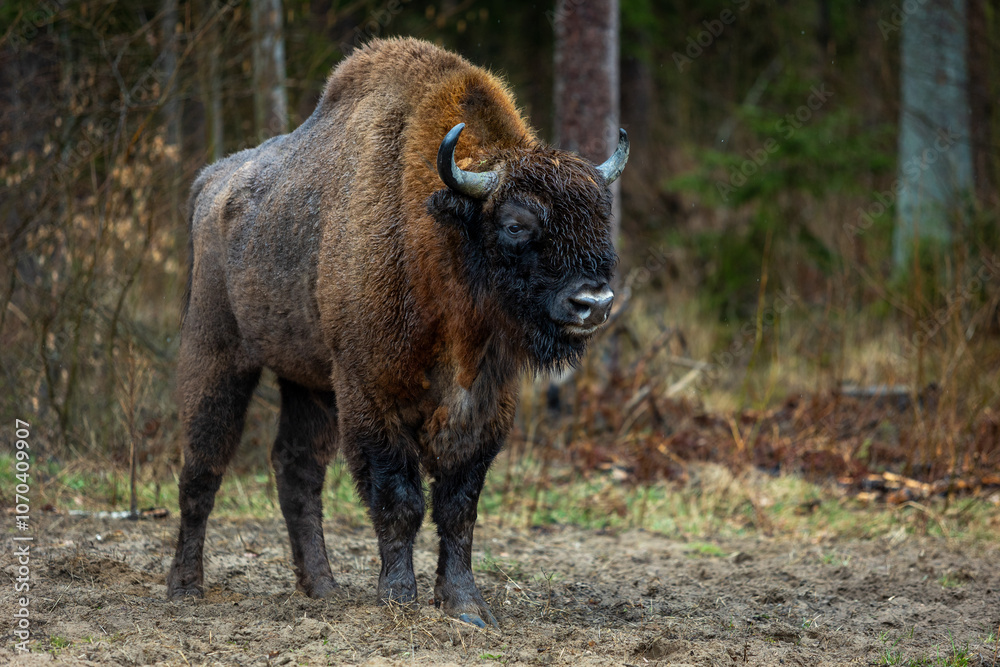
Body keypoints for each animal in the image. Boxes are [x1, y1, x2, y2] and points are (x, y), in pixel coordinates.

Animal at [166, 37, 628, 628]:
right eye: (515, 224)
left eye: (600, 218)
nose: (592, 303)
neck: (439, 236)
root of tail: (209, 184)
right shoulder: (370, 394)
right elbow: (398, 500)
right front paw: (398, 598)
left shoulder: (485, 405)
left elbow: (458, 507)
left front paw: (466, 605)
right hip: (217, 353)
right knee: (203, 464)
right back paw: (185, 587)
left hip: (308, 382)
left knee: (296, 470)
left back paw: (323, 587)